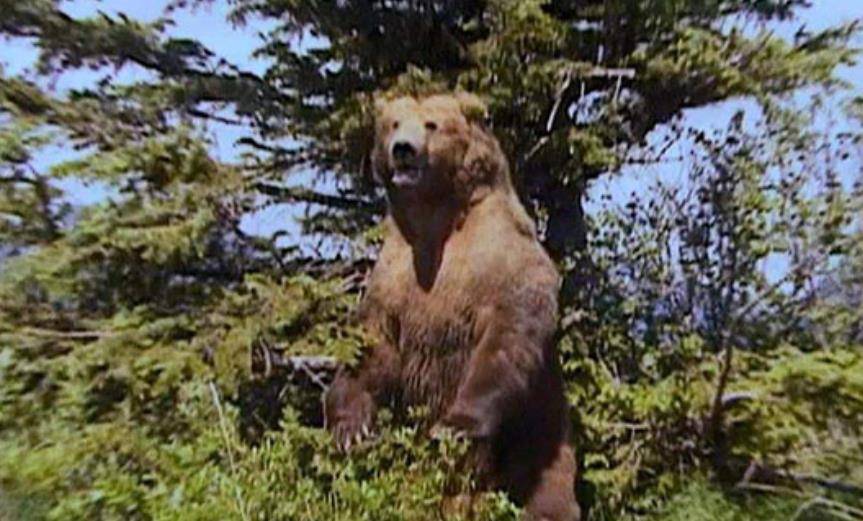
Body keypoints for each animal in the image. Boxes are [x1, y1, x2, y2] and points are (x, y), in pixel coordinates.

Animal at [324, 93, 580, 521]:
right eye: (394, 124)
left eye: (431, 124)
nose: (403, 150)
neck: (435, 217)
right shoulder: (395, 277)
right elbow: (374, 345)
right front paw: (351, 428)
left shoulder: (499, 258)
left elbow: (509, 332)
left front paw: (455, 424)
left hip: (541, 432)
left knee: (548, 493)